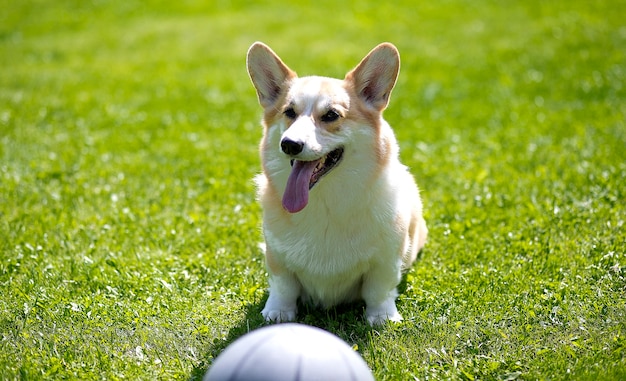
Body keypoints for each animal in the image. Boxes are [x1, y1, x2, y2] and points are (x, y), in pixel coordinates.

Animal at [246, 42, 426, 324]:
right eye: (289, 112)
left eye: (331, 115)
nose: (289, 144)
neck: (324, 202)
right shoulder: (276, 256)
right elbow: (283, 287)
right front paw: (278, 312)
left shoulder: (386, 261)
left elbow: (379, 290)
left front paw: (382, 317)